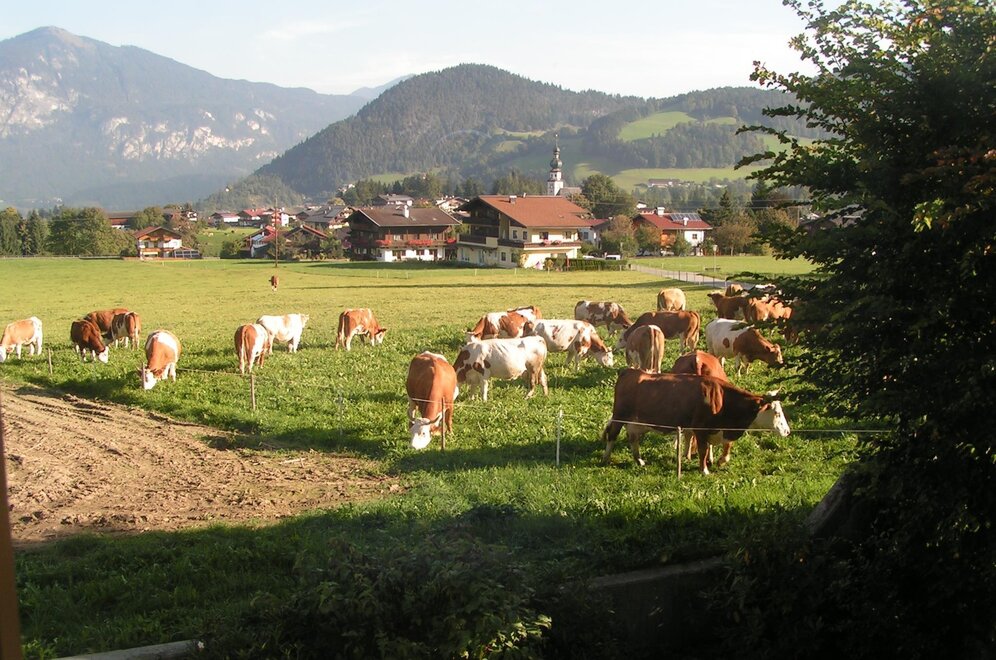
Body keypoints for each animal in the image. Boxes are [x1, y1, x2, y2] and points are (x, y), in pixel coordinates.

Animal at [601, 369, 790, 475]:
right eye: (777, 412)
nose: (787, 431)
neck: (722, 399)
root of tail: (630, 371)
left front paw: (716, 462)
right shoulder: (700, 428)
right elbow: (702, 450)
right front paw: (704, 470)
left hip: (637, 423)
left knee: (633, 439)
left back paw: (639, 461)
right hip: (619, 416)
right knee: (613, 435)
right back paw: (606, 459)